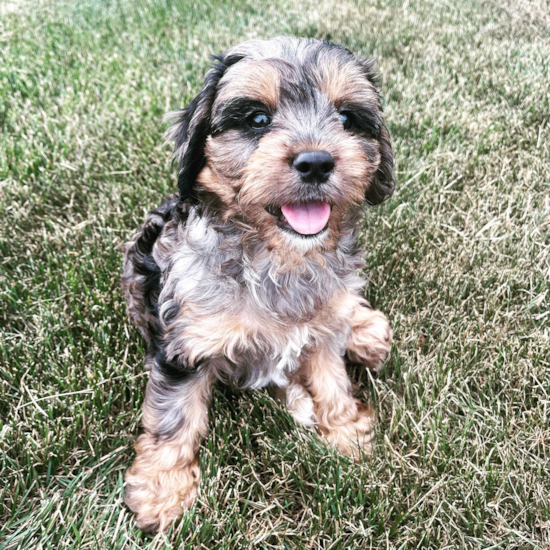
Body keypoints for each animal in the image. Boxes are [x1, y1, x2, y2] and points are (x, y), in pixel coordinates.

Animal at [123, 35, 394, 536]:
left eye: (348, 118)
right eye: (257, 120)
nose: (316, 162)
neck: (278, 258)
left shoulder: (321, 330)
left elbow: (331, 379)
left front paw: (346, 431)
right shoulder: (183, 343)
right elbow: (175, 417)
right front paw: (162, 491)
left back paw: (365, 330)